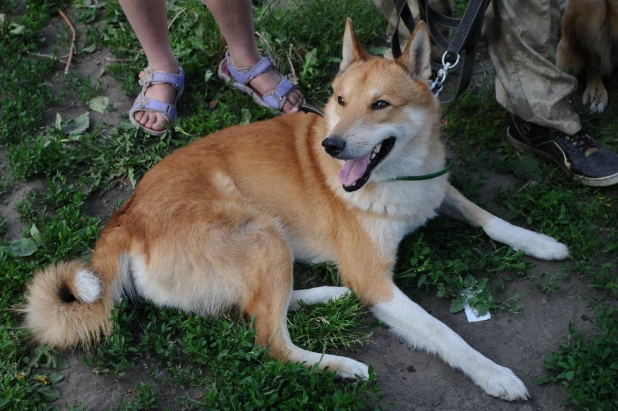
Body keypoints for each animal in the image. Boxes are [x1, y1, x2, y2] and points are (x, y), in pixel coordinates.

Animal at [22, 20, 568, 402]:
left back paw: (328, 293)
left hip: (267, 247)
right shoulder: (375, 280)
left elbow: (488, 218)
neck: (399, 174)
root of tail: (124, 218)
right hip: (263, 233)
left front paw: (541, 241)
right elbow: (444, 333)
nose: (331, 145)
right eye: (340, 99)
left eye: (380, 104)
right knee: (271, 340)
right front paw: (494, 374)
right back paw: (341, 365)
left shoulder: (437, 189)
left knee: (257, 305)